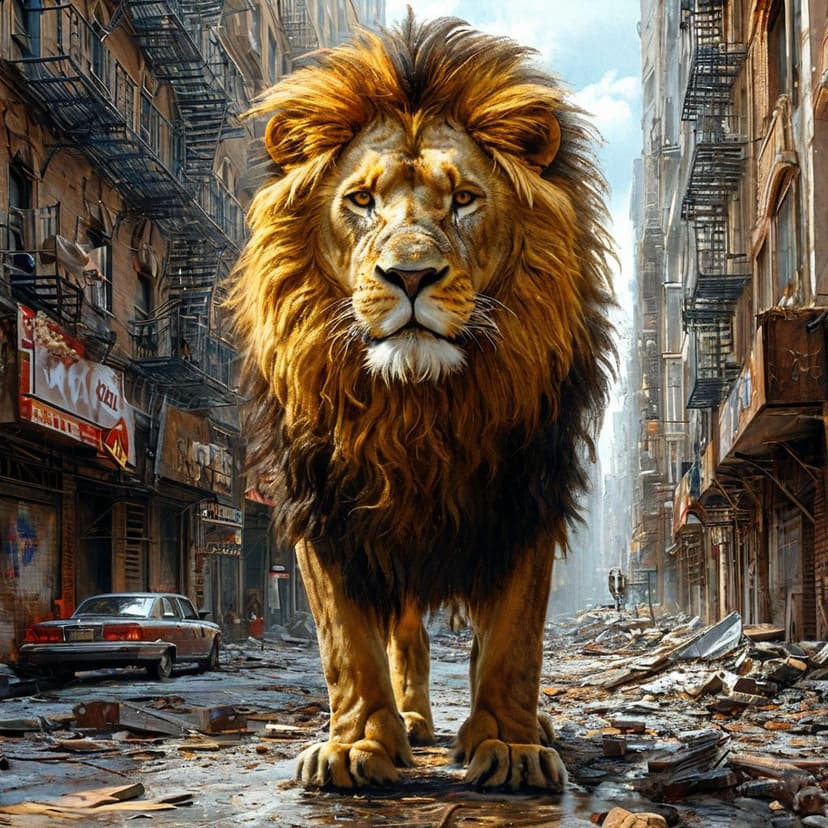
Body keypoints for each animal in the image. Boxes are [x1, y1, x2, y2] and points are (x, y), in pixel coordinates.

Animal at [228, 14, 615, 792]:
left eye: (463, 198)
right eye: (362, 200)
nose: (409, 276)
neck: (417, 409)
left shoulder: (526, 493)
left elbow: (514, 642)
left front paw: (510, 746)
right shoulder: (321, 501)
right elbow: (346, 645)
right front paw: (354, 746)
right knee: (407, 636)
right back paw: (410, 720)